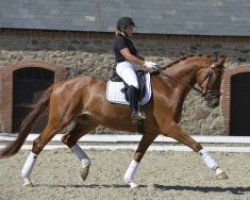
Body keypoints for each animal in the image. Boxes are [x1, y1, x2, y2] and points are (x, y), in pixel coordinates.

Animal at [0, 54, 228, 188]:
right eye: (213, 76)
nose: (214, 101)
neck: (169, 86)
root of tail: (60, 85)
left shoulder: (151, 132)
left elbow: (138, 155)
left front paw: (130, 181)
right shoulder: (170, 128)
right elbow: (196, 144)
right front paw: (219, 171)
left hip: (88, 121)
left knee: (68, 139)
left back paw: (85, 168)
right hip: (60, 119)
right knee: (39, 142)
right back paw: (27, 179)